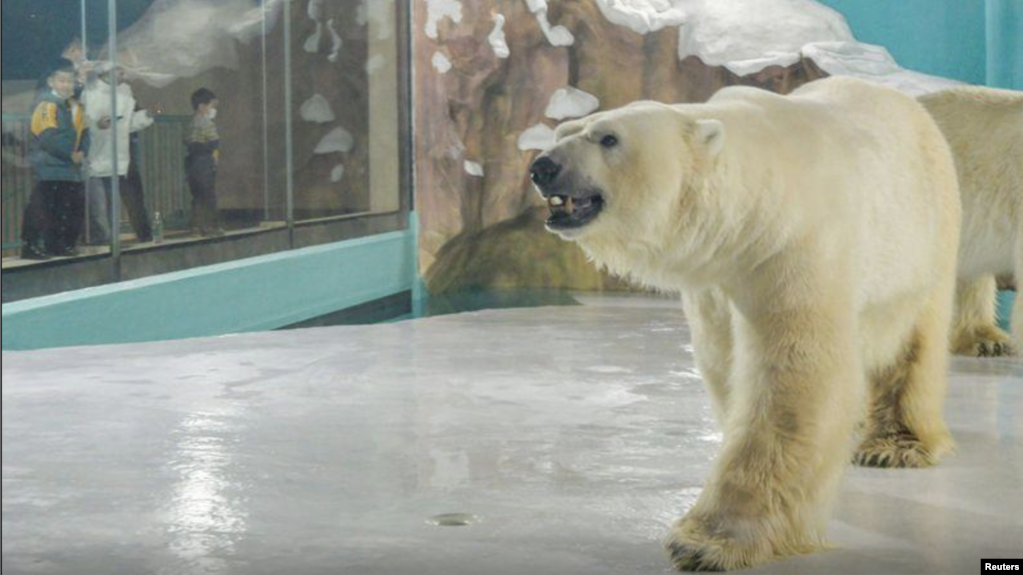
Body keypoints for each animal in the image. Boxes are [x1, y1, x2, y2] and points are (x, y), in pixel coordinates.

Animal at [531, 75, 961, 568]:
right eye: (563, 131)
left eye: (608, 138)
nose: (542, 167)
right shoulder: (716, 276)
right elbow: (725, 362)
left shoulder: (794, 248)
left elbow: (795, 378)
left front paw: (708, 541)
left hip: (923, 233)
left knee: (915, 338)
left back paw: (896, 444)